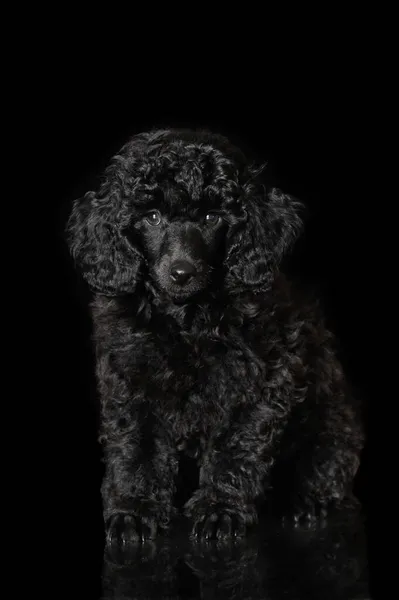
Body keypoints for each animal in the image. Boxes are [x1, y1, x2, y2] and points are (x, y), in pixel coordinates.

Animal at [66, 126, 366, 544]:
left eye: (211, 217)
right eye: (152, 217)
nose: (181, 272)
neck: (188, 318)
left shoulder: (262, 382)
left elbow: (236, 447)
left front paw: (219, 509)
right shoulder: (129, 378)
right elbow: (136, 446)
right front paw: (134, 509)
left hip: (332, 418)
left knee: (328, 461)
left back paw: (307, 500)